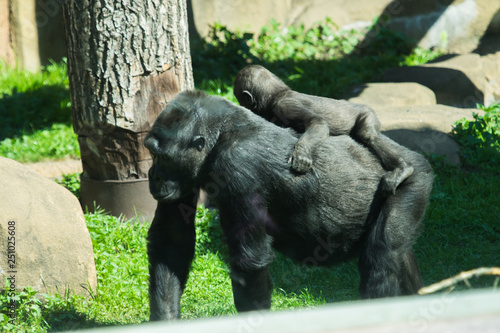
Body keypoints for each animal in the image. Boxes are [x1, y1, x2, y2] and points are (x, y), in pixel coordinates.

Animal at [145, 90, 434, 320]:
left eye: (163, 157)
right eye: (151, 153)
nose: (154, 175)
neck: (220, 136)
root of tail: (412, 158)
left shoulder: (236, 166)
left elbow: (250, 261)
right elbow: (171, 238)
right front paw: (165, 320)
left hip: (414, 180)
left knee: (381, 257)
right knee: (400, 254)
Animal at [234, 65, 414, 193]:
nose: (240, 104)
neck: (278, 94)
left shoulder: (285, 106)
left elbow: (317, 122)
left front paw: (301, 155)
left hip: (368, 113)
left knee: (368, 134)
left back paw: (402, 169)